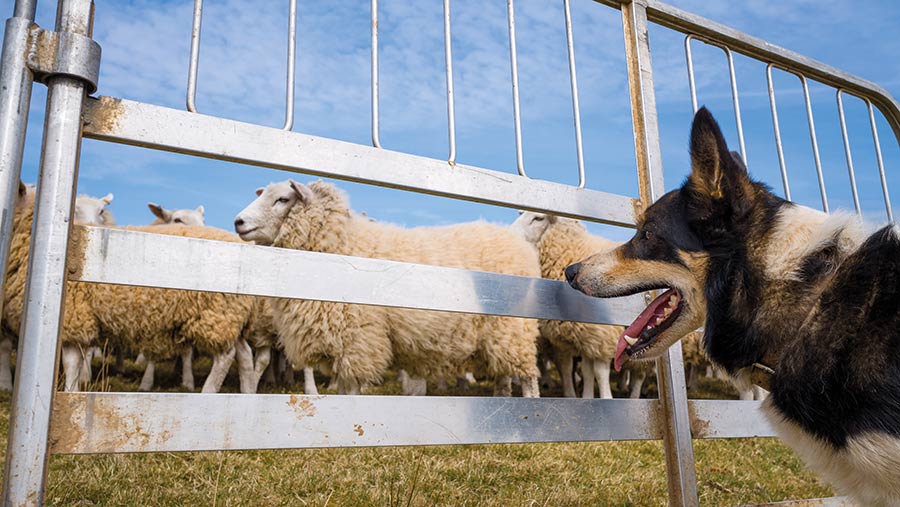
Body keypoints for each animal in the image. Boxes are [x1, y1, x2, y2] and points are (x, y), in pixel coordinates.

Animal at [234, 181, 540, 398]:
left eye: (283, 199)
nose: (238, 221)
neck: (343, 243)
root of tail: (517, 243)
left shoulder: (359, 339)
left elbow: (351, 389)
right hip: (499, 334)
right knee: (503, 373)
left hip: (514, 328)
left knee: (528, 375)